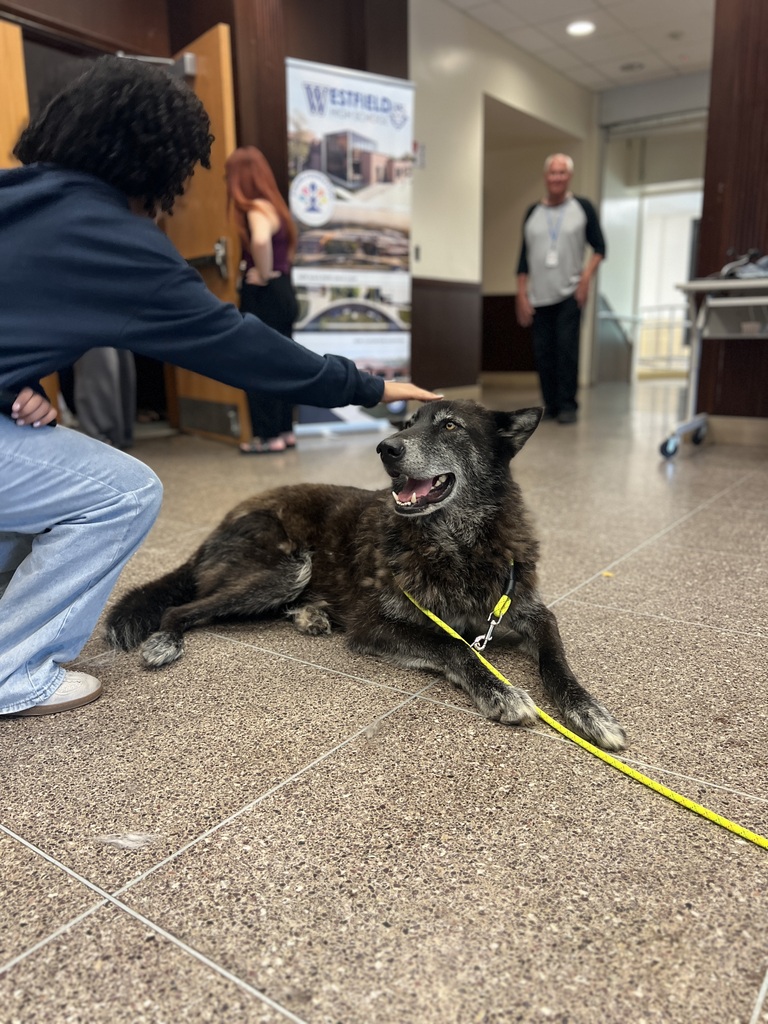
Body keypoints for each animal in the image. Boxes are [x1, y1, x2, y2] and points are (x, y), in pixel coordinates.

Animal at [106, 399, 626, 751]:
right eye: (406, 423)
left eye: (450, 426)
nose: (385, 447)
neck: (458, 543)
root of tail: (221, 522)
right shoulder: (373, 626)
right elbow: (453, 645)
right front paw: (498, 690)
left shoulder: (533, 613)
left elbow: (557, 663)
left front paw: (589, 711)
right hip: (289, 567)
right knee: (181, 606)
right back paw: (166, 639)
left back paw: (311, 615)